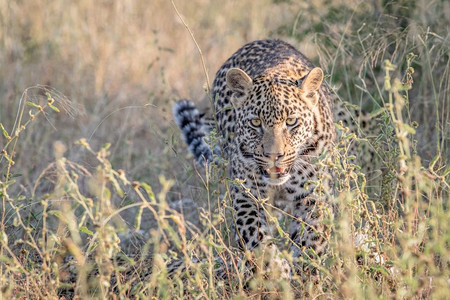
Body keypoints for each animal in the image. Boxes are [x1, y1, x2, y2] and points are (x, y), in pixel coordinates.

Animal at [172, 39, 338, 278]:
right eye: (255, 123)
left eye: (291, 122)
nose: (273, 156)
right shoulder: (246, 193)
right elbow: (254, 234)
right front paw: (275, 267)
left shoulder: (314, 194)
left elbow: (313, 234)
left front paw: (306, 271)